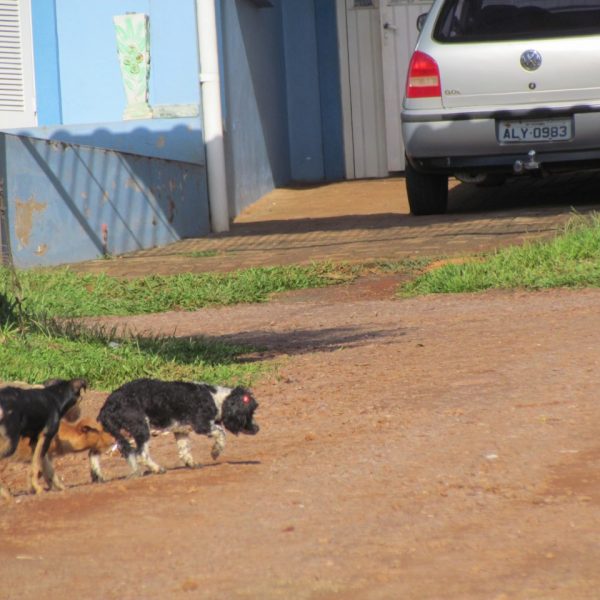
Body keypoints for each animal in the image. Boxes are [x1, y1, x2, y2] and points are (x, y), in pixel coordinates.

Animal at [96, 380, 260, 478]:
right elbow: (221, 433)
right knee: (141, 454)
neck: (216, 399)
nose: (257, 428)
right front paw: (215, 451)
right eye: (250, 413)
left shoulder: (181, 431)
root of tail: (107, 406)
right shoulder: (202, 424)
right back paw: (157, 469)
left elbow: (184, 449)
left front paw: (191, 463)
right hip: (141, 427)